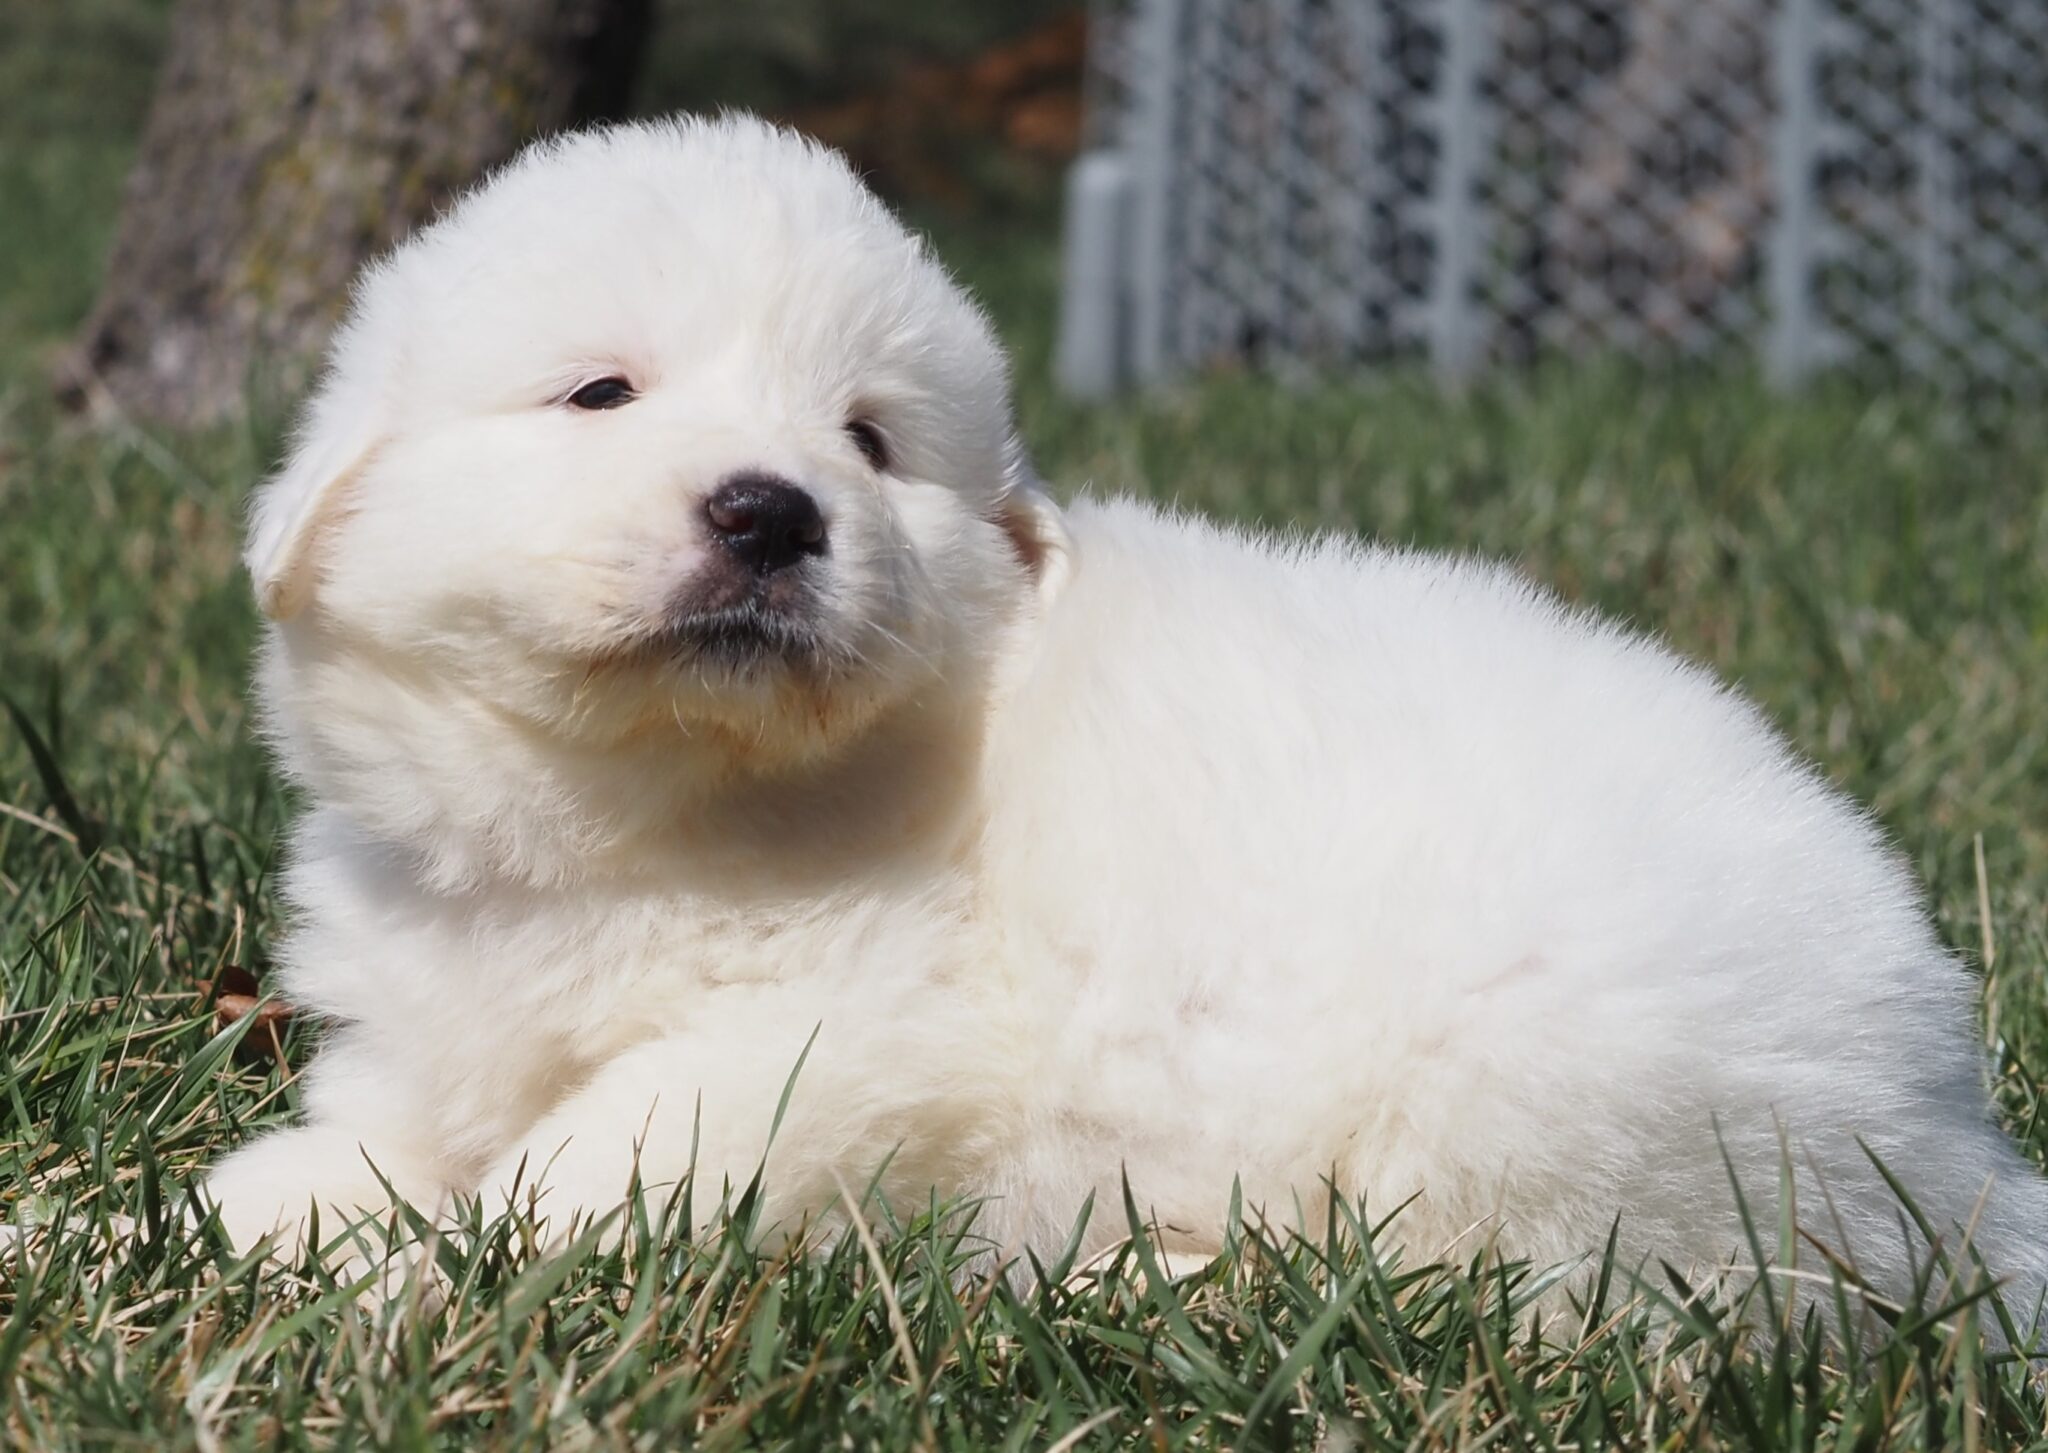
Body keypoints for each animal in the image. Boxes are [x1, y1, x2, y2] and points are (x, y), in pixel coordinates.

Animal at [211, 110, 2048, 1311]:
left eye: (870, 441)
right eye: (599, 393)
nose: (771, 512)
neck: (630, 811)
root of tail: (1952, 1145)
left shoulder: (861, 1029)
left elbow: (617, 1150)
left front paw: (453, 1269)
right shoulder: (431, 1004)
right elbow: (388, 1131)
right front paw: (252, 1216)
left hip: (1552, 1083)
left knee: (1526, 1295)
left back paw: (1134, 1285)